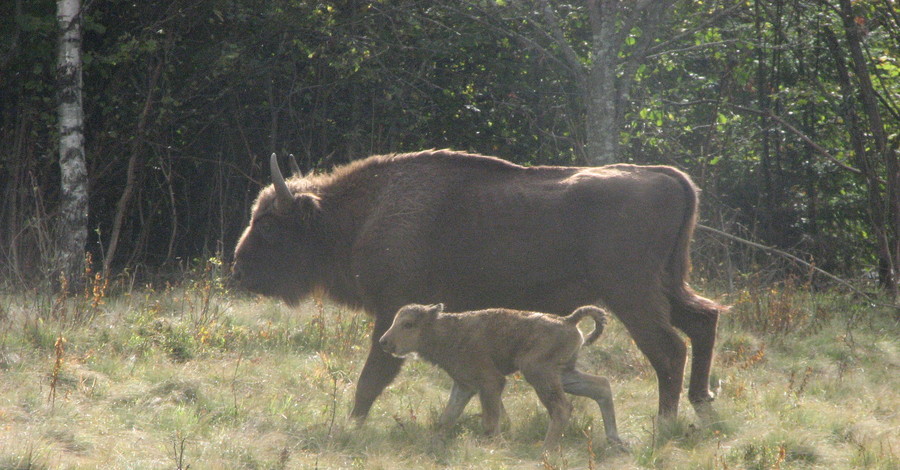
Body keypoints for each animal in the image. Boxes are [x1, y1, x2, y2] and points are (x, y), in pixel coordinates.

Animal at [232, 150, 724, 422]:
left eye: (270, 225)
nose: (237, 270)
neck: (362, 214)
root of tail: (666, 175)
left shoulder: (392, 313)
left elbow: (372, 378)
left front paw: (351, 425)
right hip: (666, 287)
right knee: (704, 321)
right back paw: (701, 404)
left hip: (632, 294)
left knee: (669, 350)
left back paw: (665, 422)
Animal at [376, 302, 624, 450]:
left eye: (408, 324)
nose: (384, 342)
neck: (447, 331)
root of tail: (568, 320)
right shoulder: (464, 386)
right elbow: (447, 418)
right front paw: (434, 444)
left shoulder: (491, 382)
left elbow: (490, 421)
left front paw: (495, 446)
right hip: (563, 374)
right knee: (601, 386)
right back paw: (615, 440)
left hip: (538, 372)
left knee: (562, 408)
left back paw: (546, 450)